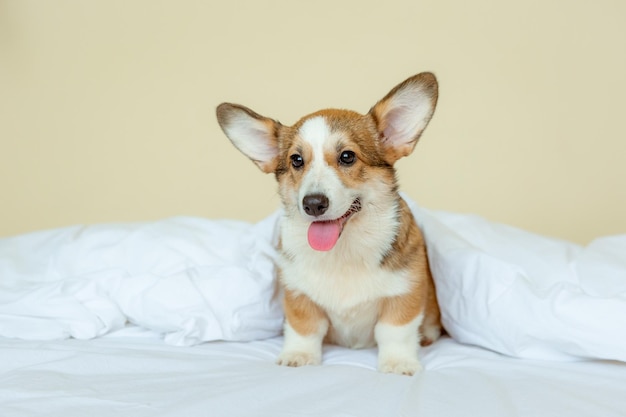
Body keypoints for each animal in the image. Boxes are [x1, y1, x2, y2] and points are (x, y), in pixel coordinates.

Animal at [217, 72, 442, 374]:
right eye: (296, 160)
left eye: (347, 156)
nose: (313, 204)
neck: (342, 252)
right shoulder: (298, 294)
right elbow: (305, 329)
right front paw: (299, 355)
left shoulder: (405, 293)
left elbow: (394, 332)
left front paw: (398, 362)